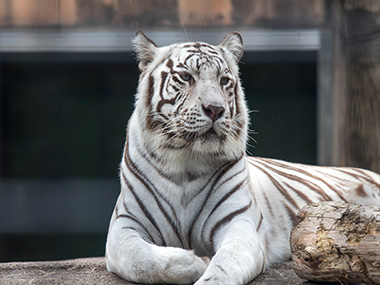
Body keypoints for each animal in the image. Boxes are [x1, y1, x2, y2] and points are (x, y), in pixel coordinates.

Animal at [105, 30, 380, 282]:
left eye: (224, 80)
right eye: (186, 77)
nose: (215, 109)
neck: (185, 162)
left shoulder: (239, 223)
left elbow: (223, 268)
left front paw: (206, 266)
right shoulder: (125, 224)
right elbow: (141, 259)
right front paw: (197, 262)